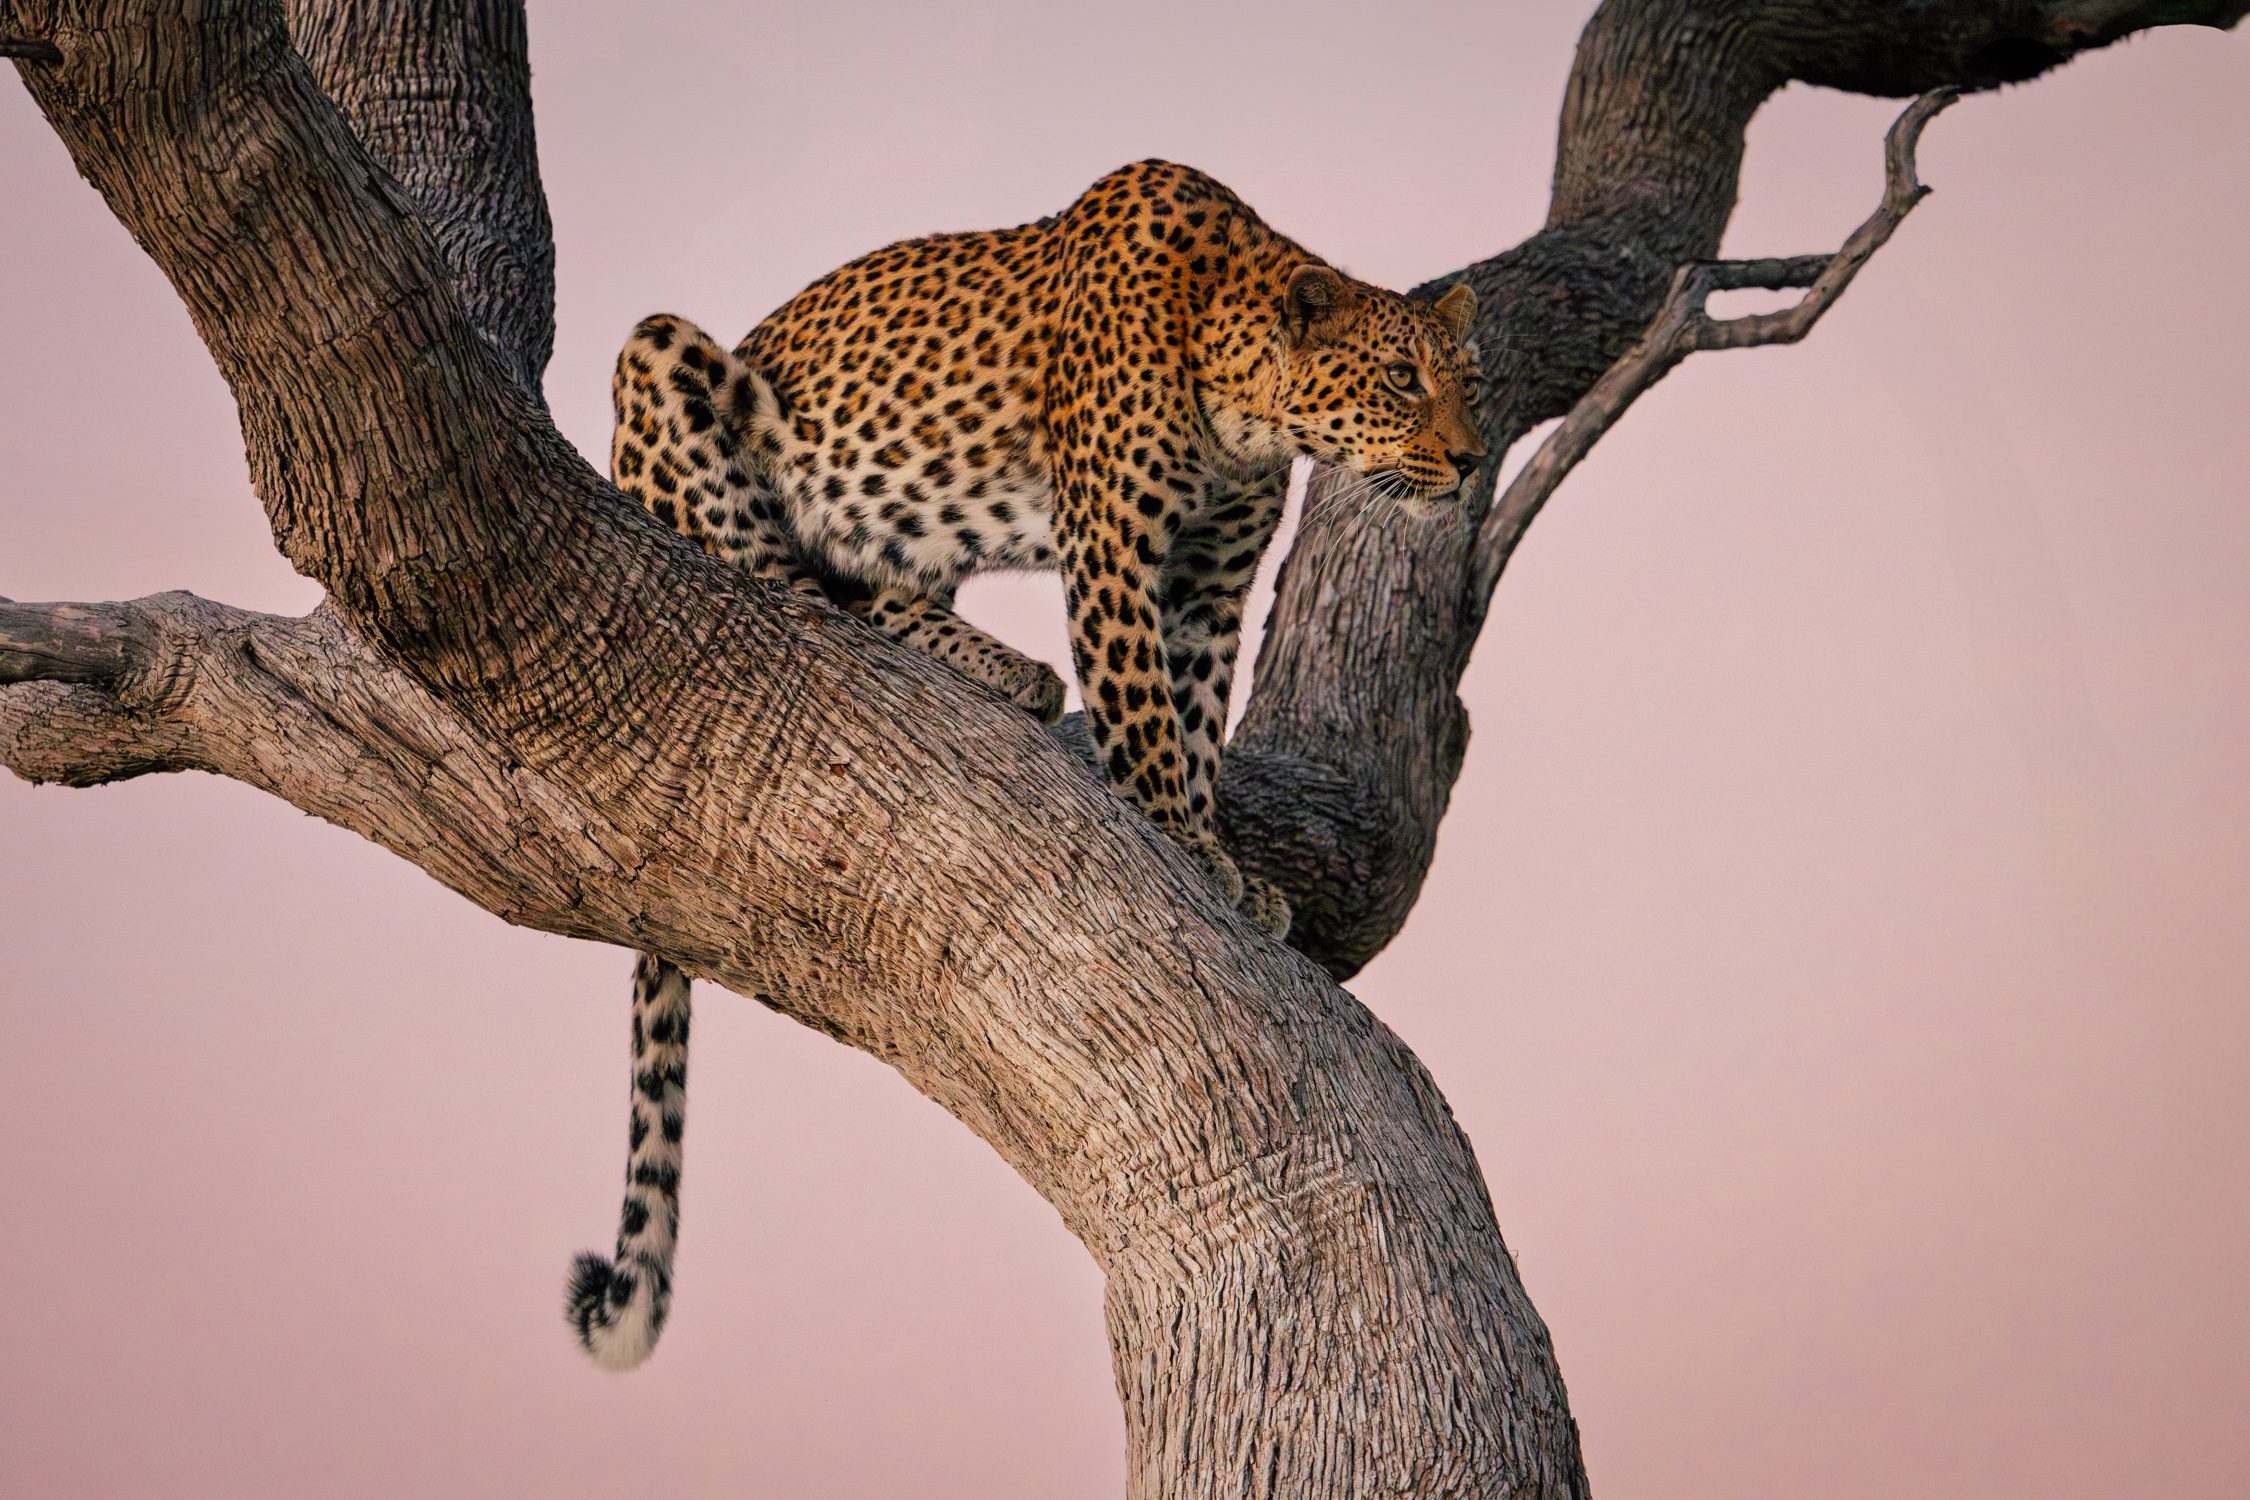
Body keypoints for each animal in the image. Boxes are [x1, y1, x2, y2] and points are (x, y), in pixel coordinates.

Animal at [564, 159, 1486, 1370]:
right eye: (1400, 377)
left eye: (1471, 384)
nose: (1471, 461)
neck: (1245, 399)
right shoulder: (1114, 548)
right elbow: (1143, 711)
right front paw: (1185, 843)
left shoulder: (1208, 586)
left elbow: (1195, 716)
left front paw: (1225, 856)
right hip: (664, 359)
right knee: (788, 577)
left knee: (891, 592)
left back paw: (1004, 670)